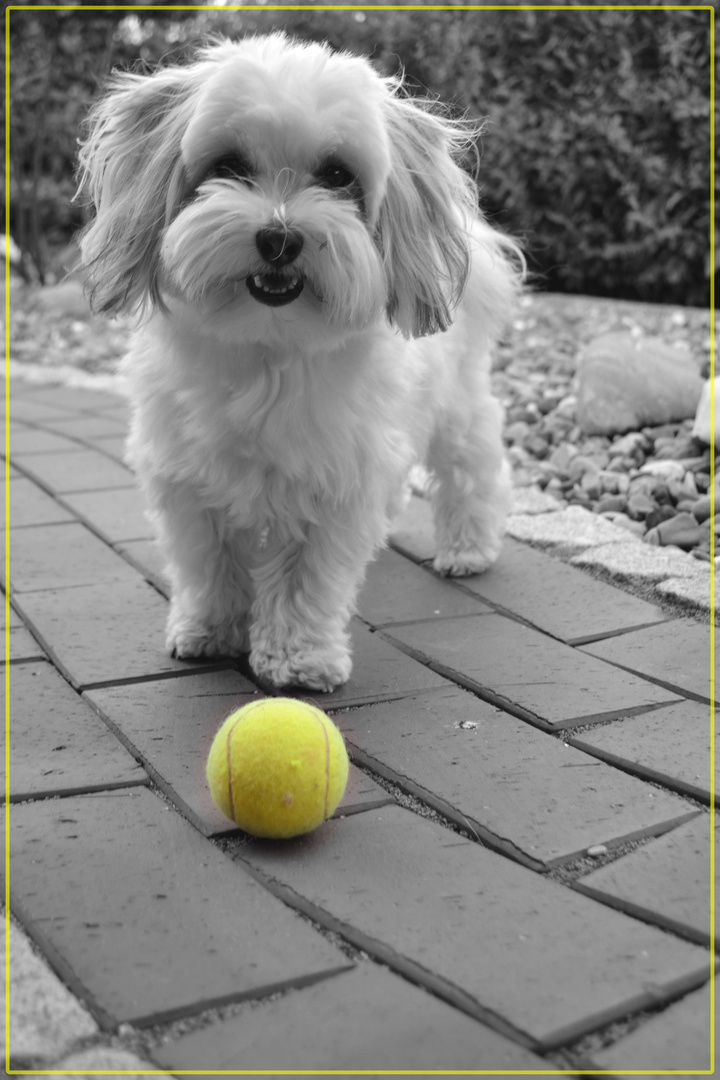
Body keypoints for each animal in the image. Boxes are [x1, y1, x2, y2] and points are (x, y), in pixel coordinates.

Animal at [78, 33, 524, 695]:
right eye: (228, 166)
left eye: (338, 176)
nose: (279, 237)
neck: (270, 349)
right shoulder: (186, 478)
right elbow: (209, 561)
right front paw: (210, 629)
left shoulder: (335, 483)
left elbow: (303, 579)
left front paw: (296, 658)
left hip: (456, 407)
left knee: (473, 468)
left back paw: (469, 548)